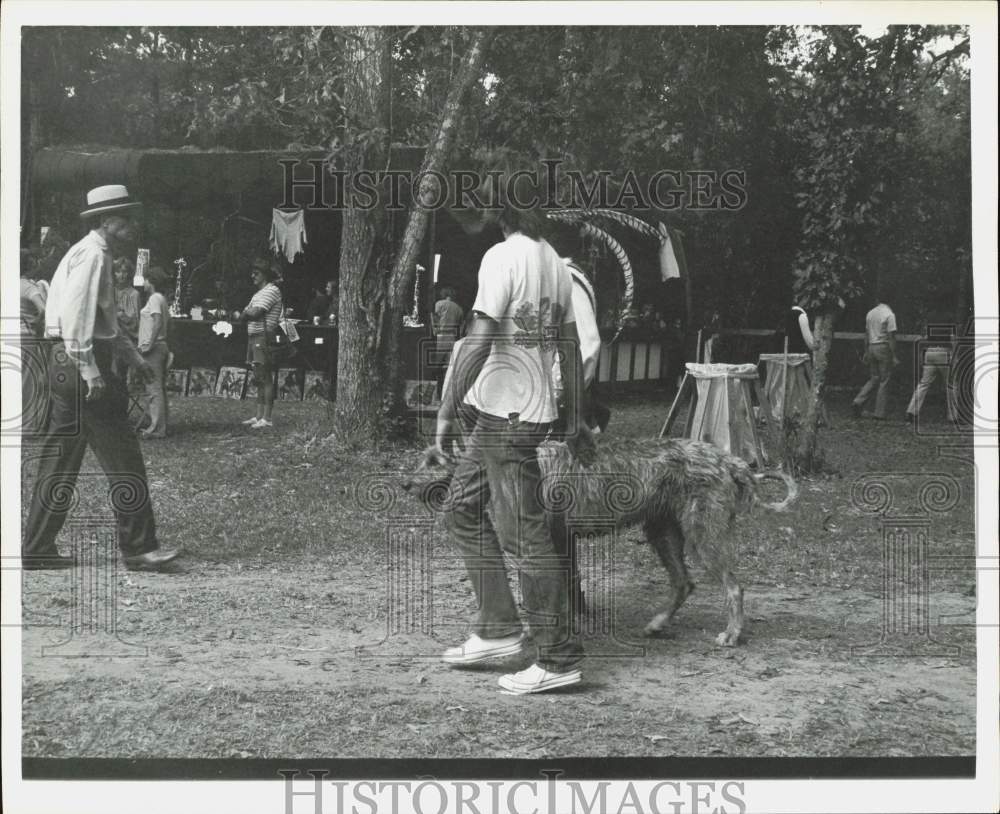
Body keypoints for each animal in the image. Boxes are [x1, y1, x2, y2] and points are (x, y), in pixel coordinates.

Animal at [404, 440, 796, 652]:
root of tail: (730, 460)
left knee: (733, 587)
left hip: (703, 535)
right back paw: (658, 623)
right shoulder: (562, 543)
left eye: (434, 461)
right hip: (663, 532)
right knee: (684, 582)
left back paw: (732, 634)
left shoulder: (545, 541)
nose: (405, 483)